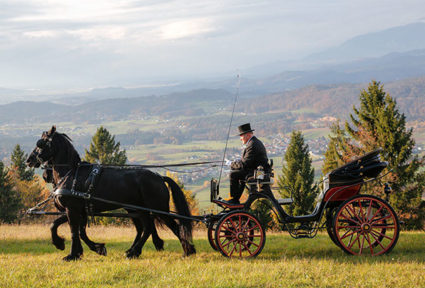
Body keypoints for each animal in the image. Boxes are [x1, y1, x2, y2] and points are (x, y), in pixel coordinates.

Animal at [27, 126, 196, 260]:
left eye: (41, 143)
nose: (29, 160)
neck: (70, 173)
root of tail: (159, 177)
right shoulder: (79, 210)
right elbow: (64, 227)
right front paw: (93, 248)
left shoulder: (72, 209)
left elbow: (74, 231)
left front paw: (72, 254)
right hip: (137, 209)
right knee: (146, 227)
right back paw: (135, 251)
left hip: (158, 208)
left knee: (173, 226)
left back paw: (186, 251)